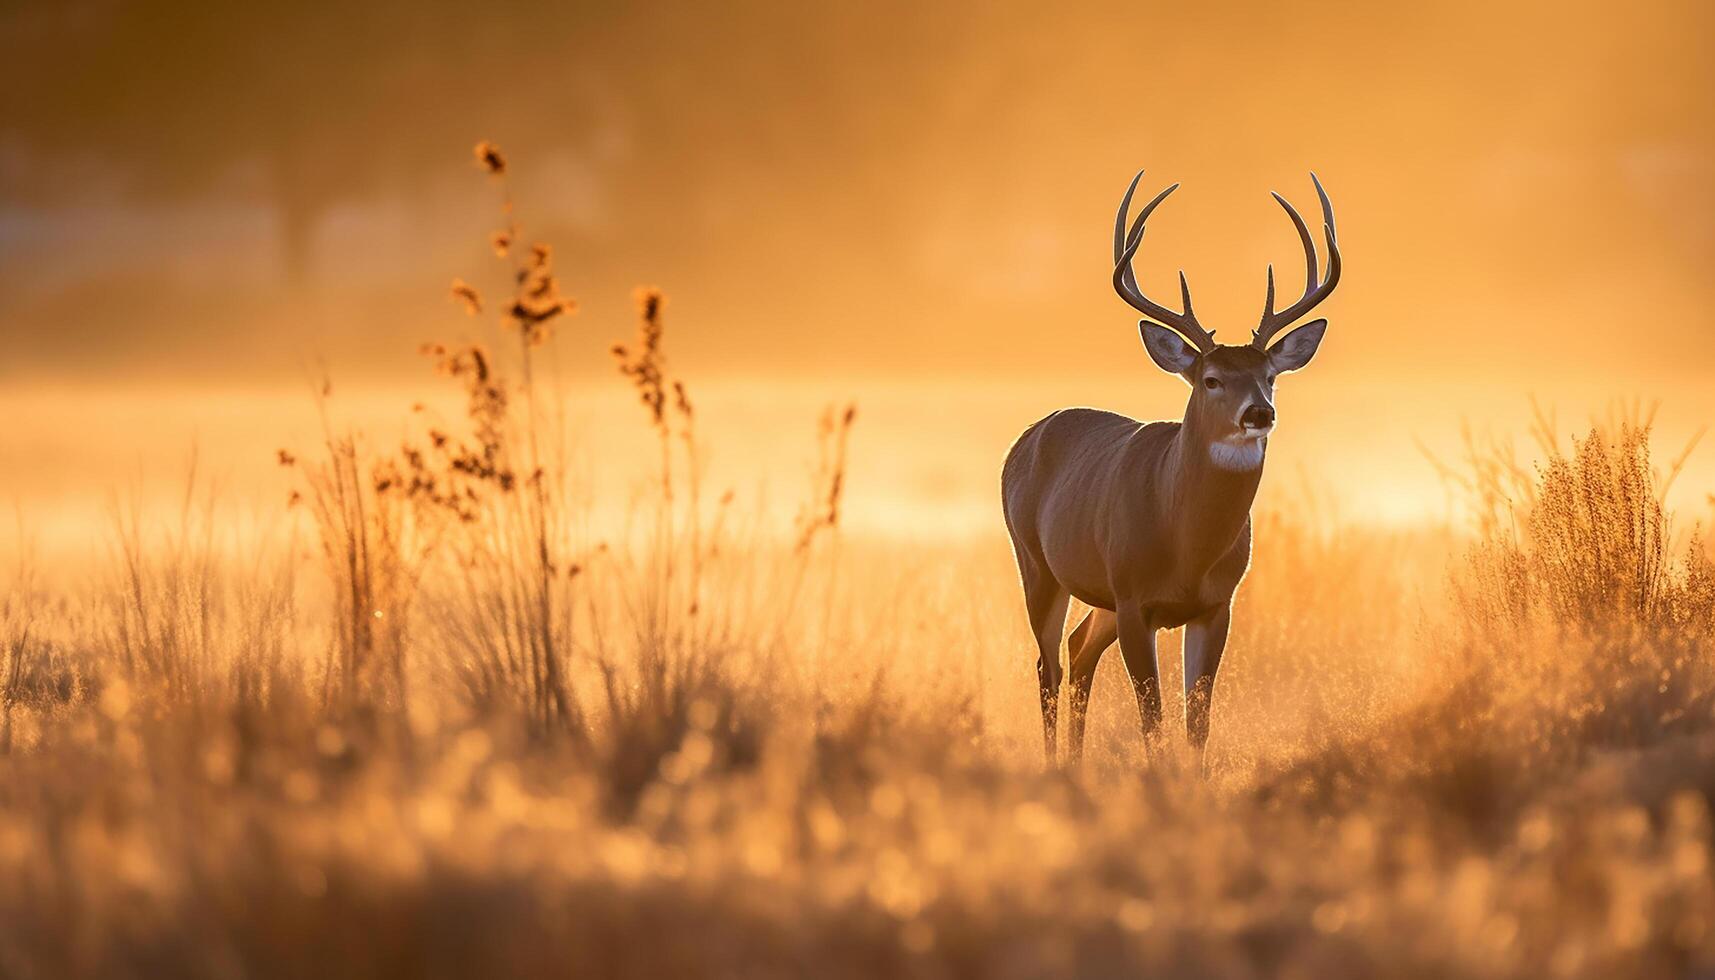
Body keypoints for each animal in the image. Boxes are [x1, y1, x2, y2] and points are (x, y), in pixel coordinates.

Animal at [1001, 170, 1344, 765]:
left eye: (1270, 377)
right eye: (1211, 379)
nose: (1259, 412)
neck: (1186, 543)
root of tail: (1027, 438)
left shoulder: (1216, 604)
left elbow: (1197, 722)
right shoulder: (1134, 597)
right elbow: (1154, 721)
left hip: (1099, 594)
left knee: (1079, 648)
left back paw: (1075, 763)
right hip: (1037, 563)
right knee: (1048, 664)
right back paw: (1054, 764)